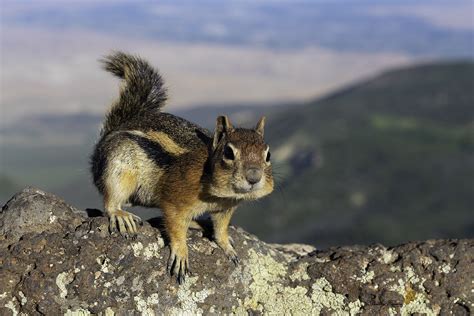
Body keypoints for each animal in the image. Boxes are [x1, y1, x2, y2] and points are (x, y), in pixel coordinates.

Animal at [90, 51, 274, 284]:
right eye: (228, 153)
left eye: (268, 155)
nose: (253, 177)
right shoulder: (175, 200)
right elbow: (175, 226)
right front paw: (181, 253)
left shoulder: (225, 208)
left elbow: (221, 229)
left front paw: (227, 246)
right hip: (117, 169)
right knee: (111, 200)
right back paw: (121, 215)